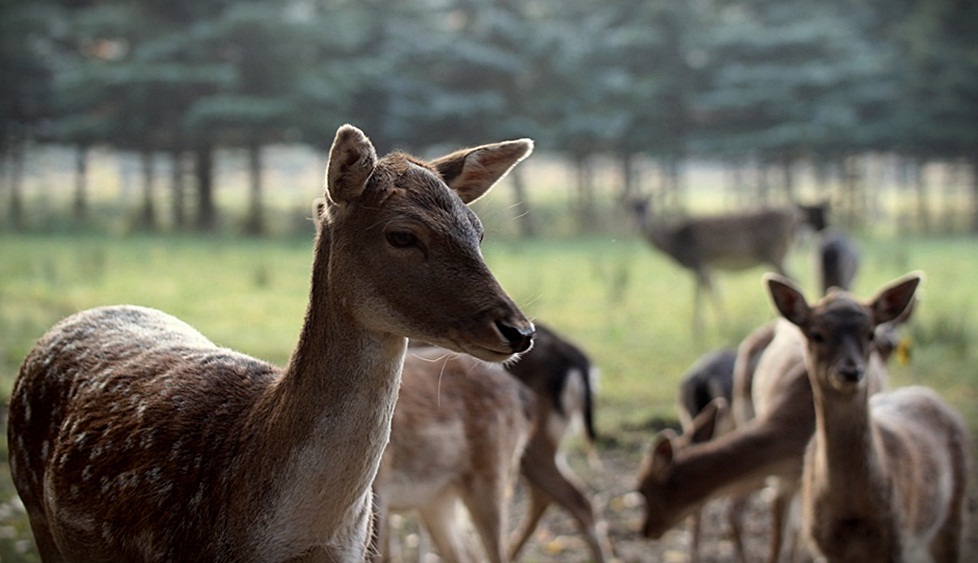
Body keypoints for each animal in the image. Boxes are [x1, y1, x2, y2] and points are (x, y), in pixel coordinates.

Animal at [628, 199, 804, 334]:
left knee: (791, 278)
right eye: (631, 208)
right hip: (783, 254)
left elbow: (700, 292)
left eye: (648, 208)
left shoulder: (699, 261)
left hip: (775, 252)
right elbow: (714, 291)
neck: (677, 244)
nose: (638, 225)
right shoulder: (710, 267)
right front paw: (721, 323)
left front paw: (698, 328)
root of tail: (793, 218)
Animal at [772, 274, 968, 563]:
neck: (852, 512)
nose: (850, 371)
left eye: (871, 333)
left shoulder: (898, 538)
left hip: (952, 511)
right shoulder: (823, 544)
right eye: (816, 334)